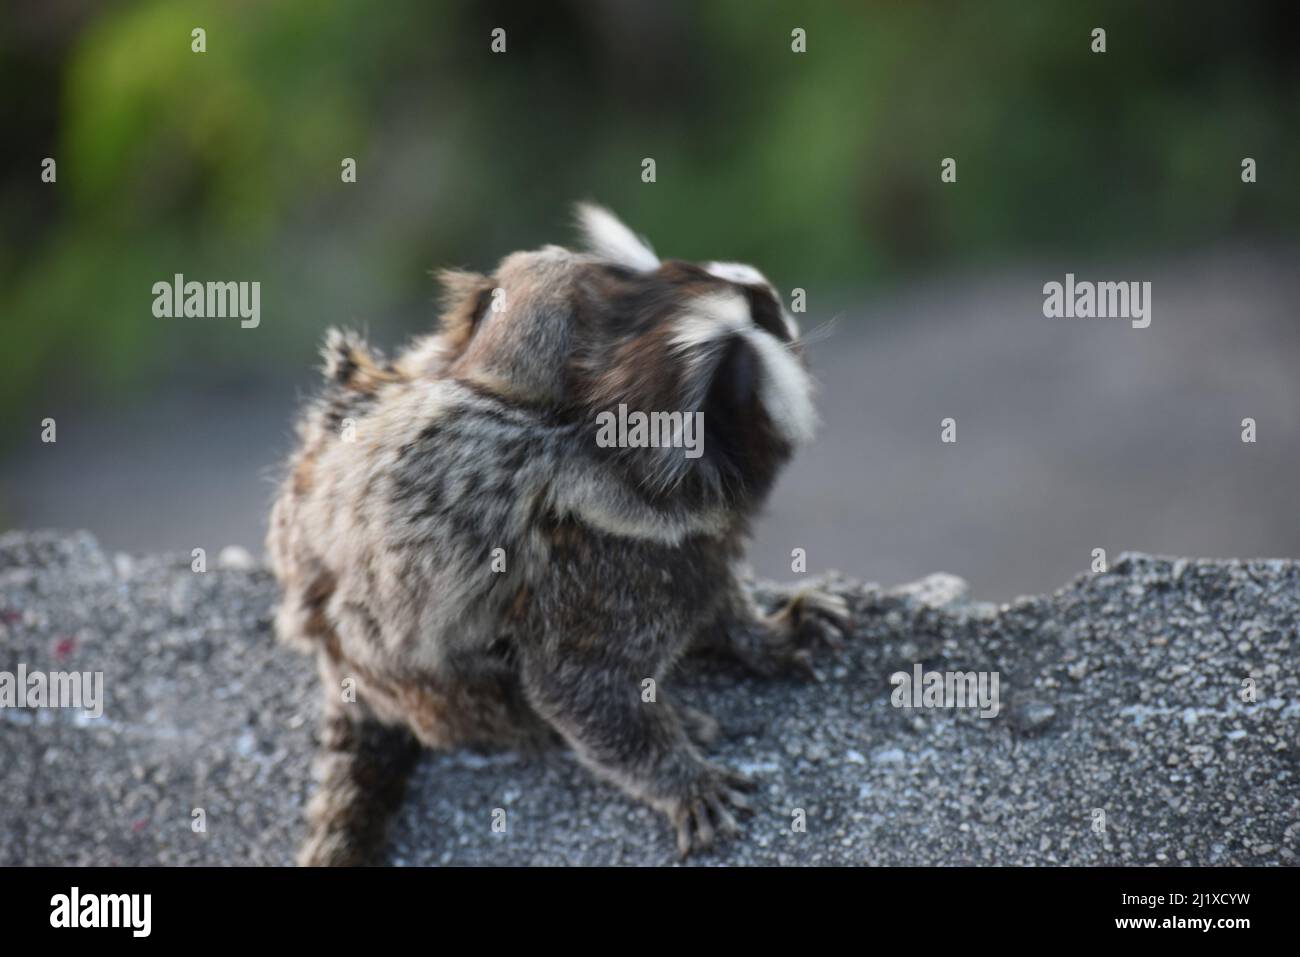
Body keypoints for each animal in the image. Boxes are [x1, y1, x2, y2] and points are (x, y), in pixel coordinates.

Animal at [267, 204, 849, 865]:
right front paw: (679, 780)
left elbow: (718, 599)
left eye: (758, 305)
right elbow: (576, 689)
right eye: (759, 326)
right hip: (416, 677)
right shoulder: (614, 566)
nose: (766, 294)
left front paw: (764, 634)